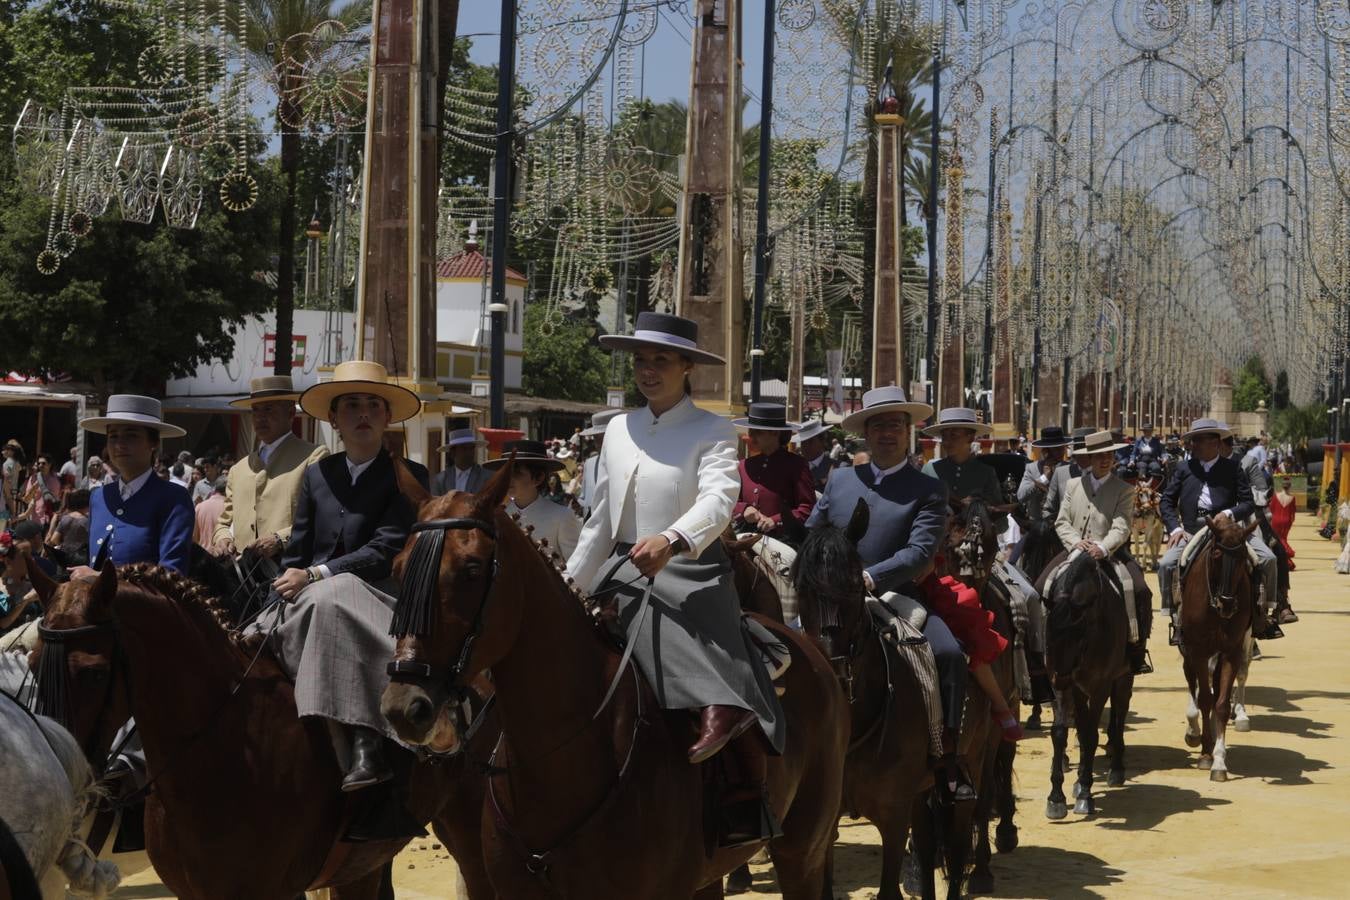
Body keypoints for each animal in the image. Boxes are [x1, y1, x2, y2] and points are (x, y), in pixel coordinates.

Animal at [1177, 518, 1258, 782]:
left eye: (1242, 557)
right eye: (1216, 554)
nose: (1227, 603)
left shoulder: (1231, 650)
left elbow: (1221, 703)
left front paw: (1219, 761)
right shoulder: (1199, 650)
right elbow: (1203, 698)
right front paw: (1204, 753)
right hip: (1189, 649)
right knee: (1194, 682)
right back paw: (1195, 733)